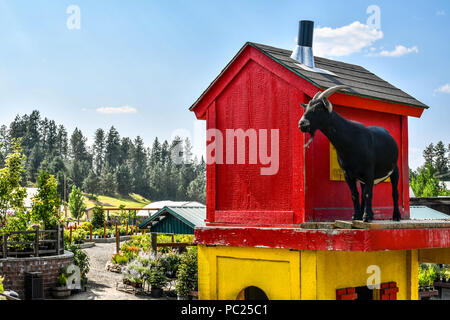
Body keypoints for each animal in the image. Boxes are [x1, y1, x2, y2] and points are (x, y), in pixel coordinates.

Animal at [298, 85, 400, 222]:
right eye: (307, 107)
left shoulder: (369, 171)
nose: (302, 124)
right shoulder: (348, 174)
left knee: (394, 192)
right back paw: (369, 214)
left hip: (395, 170)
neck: (351, 140)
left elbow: (368, 194)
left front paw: (365, 217)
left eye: (318, 107)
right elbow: (355, 194)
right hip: (362, 178)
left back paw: (396, 216)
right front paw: (356, 216)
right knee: (363, 191)